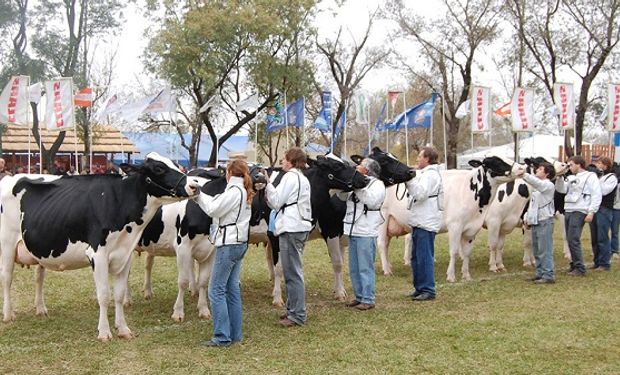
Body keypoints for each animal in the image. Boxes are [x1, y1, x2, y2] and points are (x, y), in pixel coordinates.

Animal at [0, 153, 199, 344]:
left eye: (176, 164)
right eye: (159, 168)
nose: (194, 185)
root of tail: (10, 178)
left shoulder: (125, 254)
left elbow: (119, 294)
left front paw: (123, 329)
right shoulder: (97, 254)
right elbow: (104, 295)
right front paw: (104, 332)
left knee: (38, 278)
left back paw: (41, 309)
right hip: (7, 244)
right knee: (7, 278)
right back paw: (8, 315)